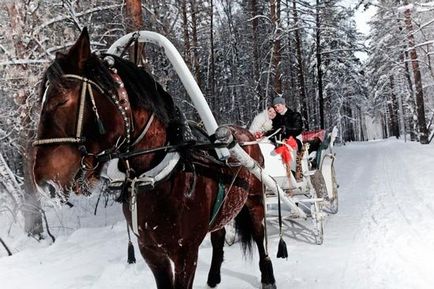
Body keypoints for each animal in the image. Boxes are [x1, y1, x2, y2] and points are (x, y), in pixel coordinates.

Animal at [31, 28, 274, 288]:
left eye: (61, 100)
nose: (45, 182)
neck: (157, 178)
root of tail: (245, 134)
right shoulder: (151, 251)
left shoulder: (185, 253)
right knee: (218, 238)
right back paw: (213, 277)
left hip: (255, 202)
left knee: (260, 238)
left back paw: (267, 276)